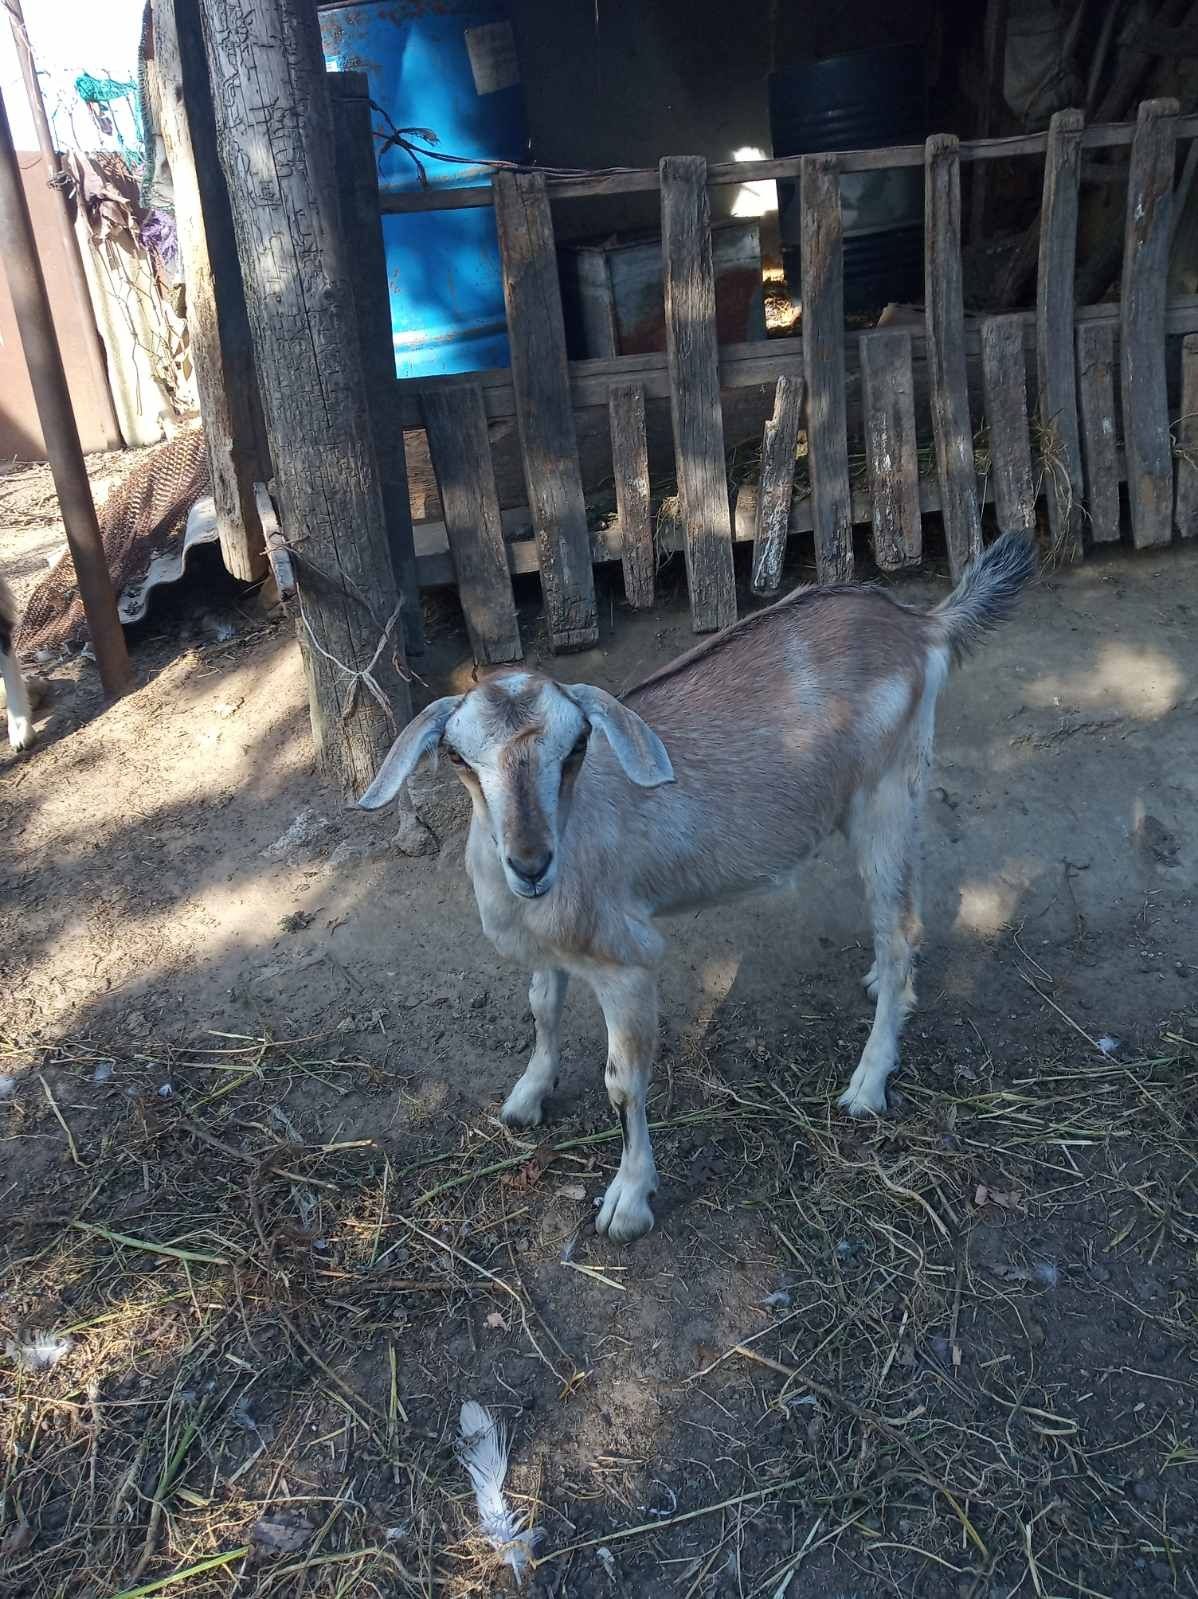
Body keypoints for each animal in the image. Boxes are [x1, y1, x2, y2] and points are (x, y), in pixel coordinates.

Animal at [359, 530, 1030, 1240]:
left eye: (577, 747)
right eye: (457, 756)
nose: (531, 862)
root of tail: (920, 625)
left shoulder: (626, 963)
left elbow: (622, 1081)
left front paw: (628, 1201)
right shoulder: (549, 950)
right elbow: (542, 1009)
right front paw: (526, 1098)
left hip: (886, 792)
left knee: (900, 925)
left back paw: (869, 1083)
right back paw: (884, 988)